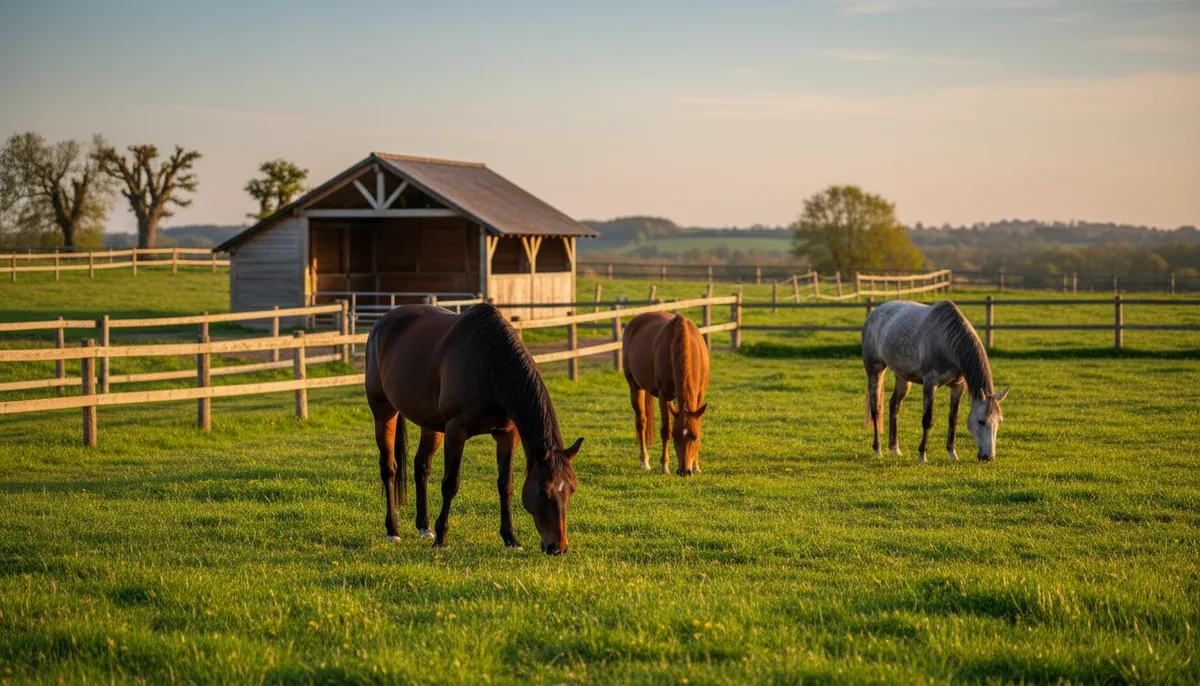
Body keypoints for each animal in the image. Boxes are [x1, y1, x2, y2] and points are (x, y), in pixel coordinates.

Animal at [365, 302, 582, 554]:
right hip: (384, 412)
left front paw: (511, 539)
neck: (488, 365)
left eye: (571, 490)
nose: (558, 547)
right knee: (389, 467)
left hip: (431, 423)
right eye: (542, 490)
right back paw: (393, 530)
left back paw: (424, 527)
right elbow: (450, 483)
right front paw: (442, 537)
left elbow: (506, 484)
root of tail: (383, 321)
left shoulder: (507, 435)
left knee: (422, 465)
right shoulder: (456, 431)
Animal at [622, 312, 710, 475]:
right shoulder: (664, 396)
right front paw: (664, 466)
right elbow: (665, 430)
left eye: (694, 437)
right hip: (635, 387)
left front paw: (696, 465)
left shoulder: (700, 393)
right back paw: (644, 461)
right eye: (675, 437)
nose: (684, 471)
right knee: (641, 422)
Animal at [861, 299, 1009, 463]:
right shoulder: (930, 384)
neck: (946, 341)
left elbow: (953, 418)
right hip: (875, 370)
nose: (988, 457)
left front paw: (952, 453)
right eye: (981, 421)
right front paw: (922, 455)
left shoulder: (958, 386)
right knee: (876, 409)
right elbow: (927, 419)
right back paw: (878, 450)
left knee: (895, 405)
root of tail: (875, 312)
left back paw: (895, 449)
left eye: (1000, 421)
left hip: (903, 377)